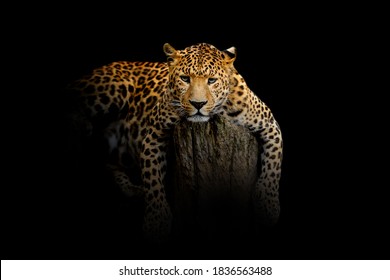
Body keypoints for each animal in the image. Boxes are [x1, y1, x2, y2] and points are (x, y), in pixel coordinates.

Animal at [64, 42, 284, 243]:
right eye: (185, 79)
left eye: (212, 80)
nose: (198, 104)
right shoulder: (153, 133)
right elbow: (153, 179)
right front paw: (156, 221)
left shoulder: (270, 125)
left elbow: (273, 167)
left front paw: (268, 207)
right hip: (114, 87)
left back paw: (132, 189)